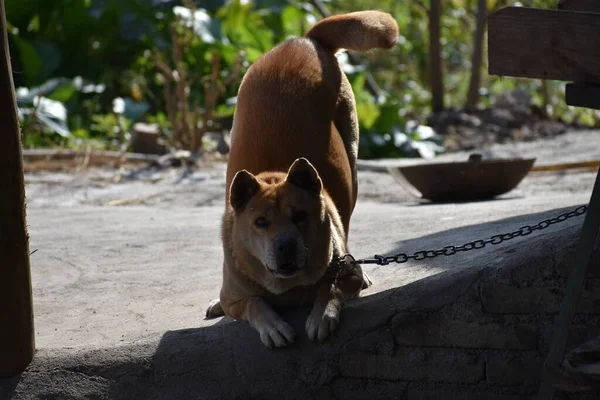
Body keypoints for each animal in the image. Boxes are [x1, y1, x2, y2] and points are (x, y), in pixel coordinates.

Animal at [206, 9, 398, 346]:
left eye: (301, 217)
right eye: (260, 222)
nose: (285, 246)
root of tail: (303, 39)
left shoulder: (344, 273)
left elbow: (331, 288)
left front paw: (322, 314)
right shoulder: (236, 297)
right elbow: (253, 302)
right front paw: (271, 325)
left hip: (352, 157)